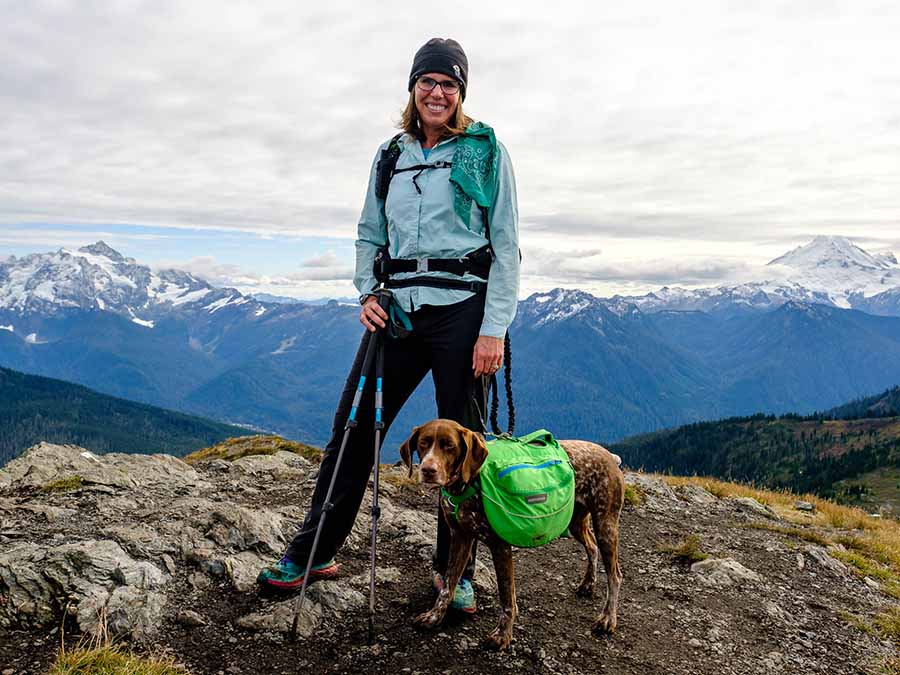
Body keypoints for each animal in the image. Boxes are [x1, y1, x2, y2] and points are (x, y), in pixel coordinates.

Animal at [400, 420, 624, 652]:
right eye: (424, 443)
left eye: (449, 446)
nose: (428, 470)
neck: (470, 483)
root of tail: (609, 455)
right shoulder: (460, 537)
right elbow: (448, 586)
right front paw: (434, 617)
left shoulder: (500, 546)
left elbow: (507, 597)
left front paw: (502, 635)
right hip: (576, 522)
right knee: (592, 546)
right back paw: (588, 584)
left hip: (605, 525)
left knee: (615, 575)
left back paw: (608, 619)